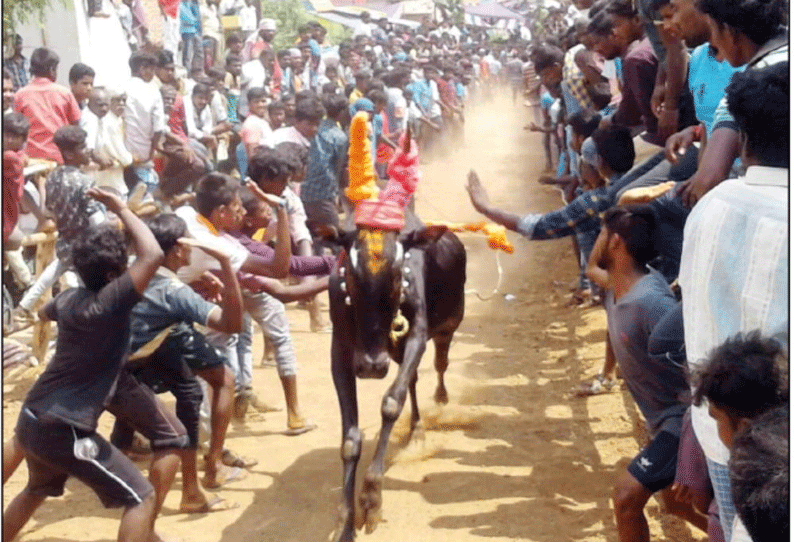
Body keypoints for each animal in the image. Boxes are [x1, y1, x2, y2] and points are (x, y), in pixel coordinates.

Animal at [326, 217, 468, 542]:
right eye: (350, 273)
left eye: (396, 273)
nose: (371, 366)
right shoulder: (340, 350)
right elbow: (350, 439)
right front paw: (345, 522)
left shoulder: (417, 335)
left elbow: (391, 402)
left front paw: (371, 498)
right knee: (413, 380)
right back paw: (416, 427)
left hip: (448, 326)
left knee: (439, 364)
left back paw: (436, 404)